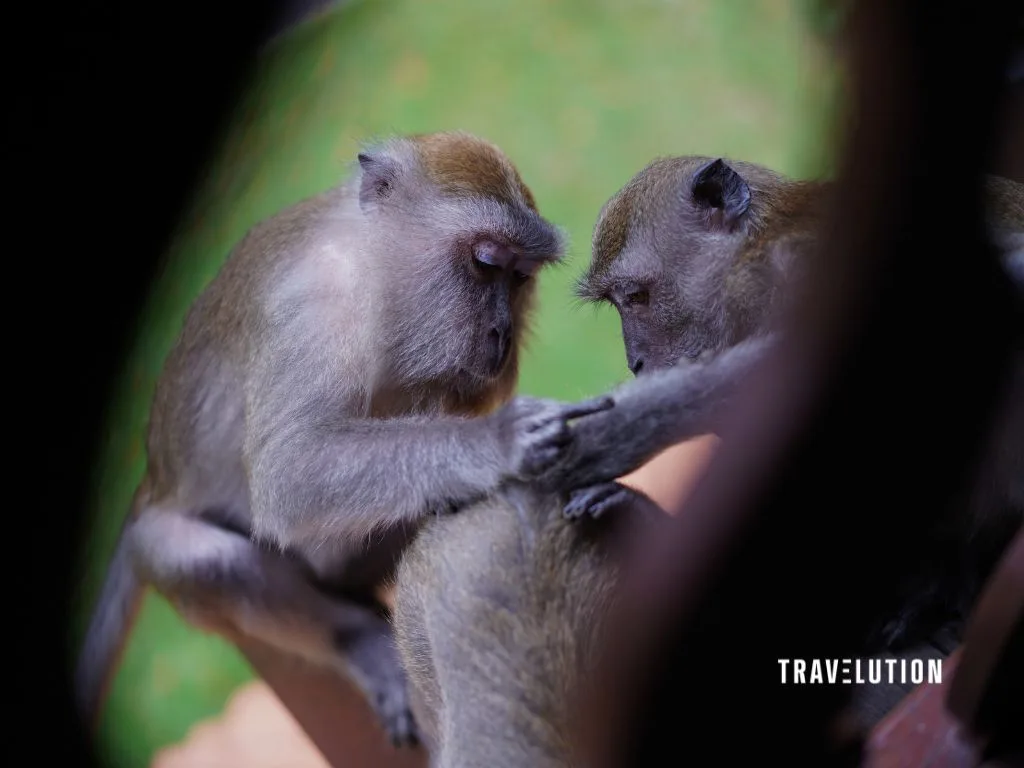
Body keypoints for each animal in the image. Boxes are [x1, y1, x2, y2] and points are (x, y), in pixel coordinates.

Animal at [72, 130, 616, 746]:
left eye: (521, 276)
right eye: (486, 263)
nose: (502, 333)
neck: (374, 276)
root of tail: (154, 479)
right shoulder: (314, 312)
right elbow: (292, 474)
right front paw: (497, 441)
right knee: (204, 558)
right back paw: (359, 638)